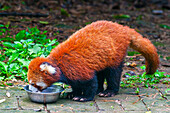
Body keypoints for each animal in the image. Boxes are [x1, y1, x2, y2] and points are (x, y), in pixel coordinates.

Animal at [27, 20, 159, 102]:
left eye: (33, 84)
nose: (32, 90)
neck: (58, 64)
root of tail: (122, 28)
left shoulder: (78, 68)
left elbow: (90, 82)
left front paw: (84, 97)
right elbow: (76, 84)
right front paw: (73, 93)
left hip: (115, 54)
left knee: (113, 74)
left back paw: (109, 91)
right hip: (102, 59)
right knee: (100, 73)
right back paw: (100, 90)